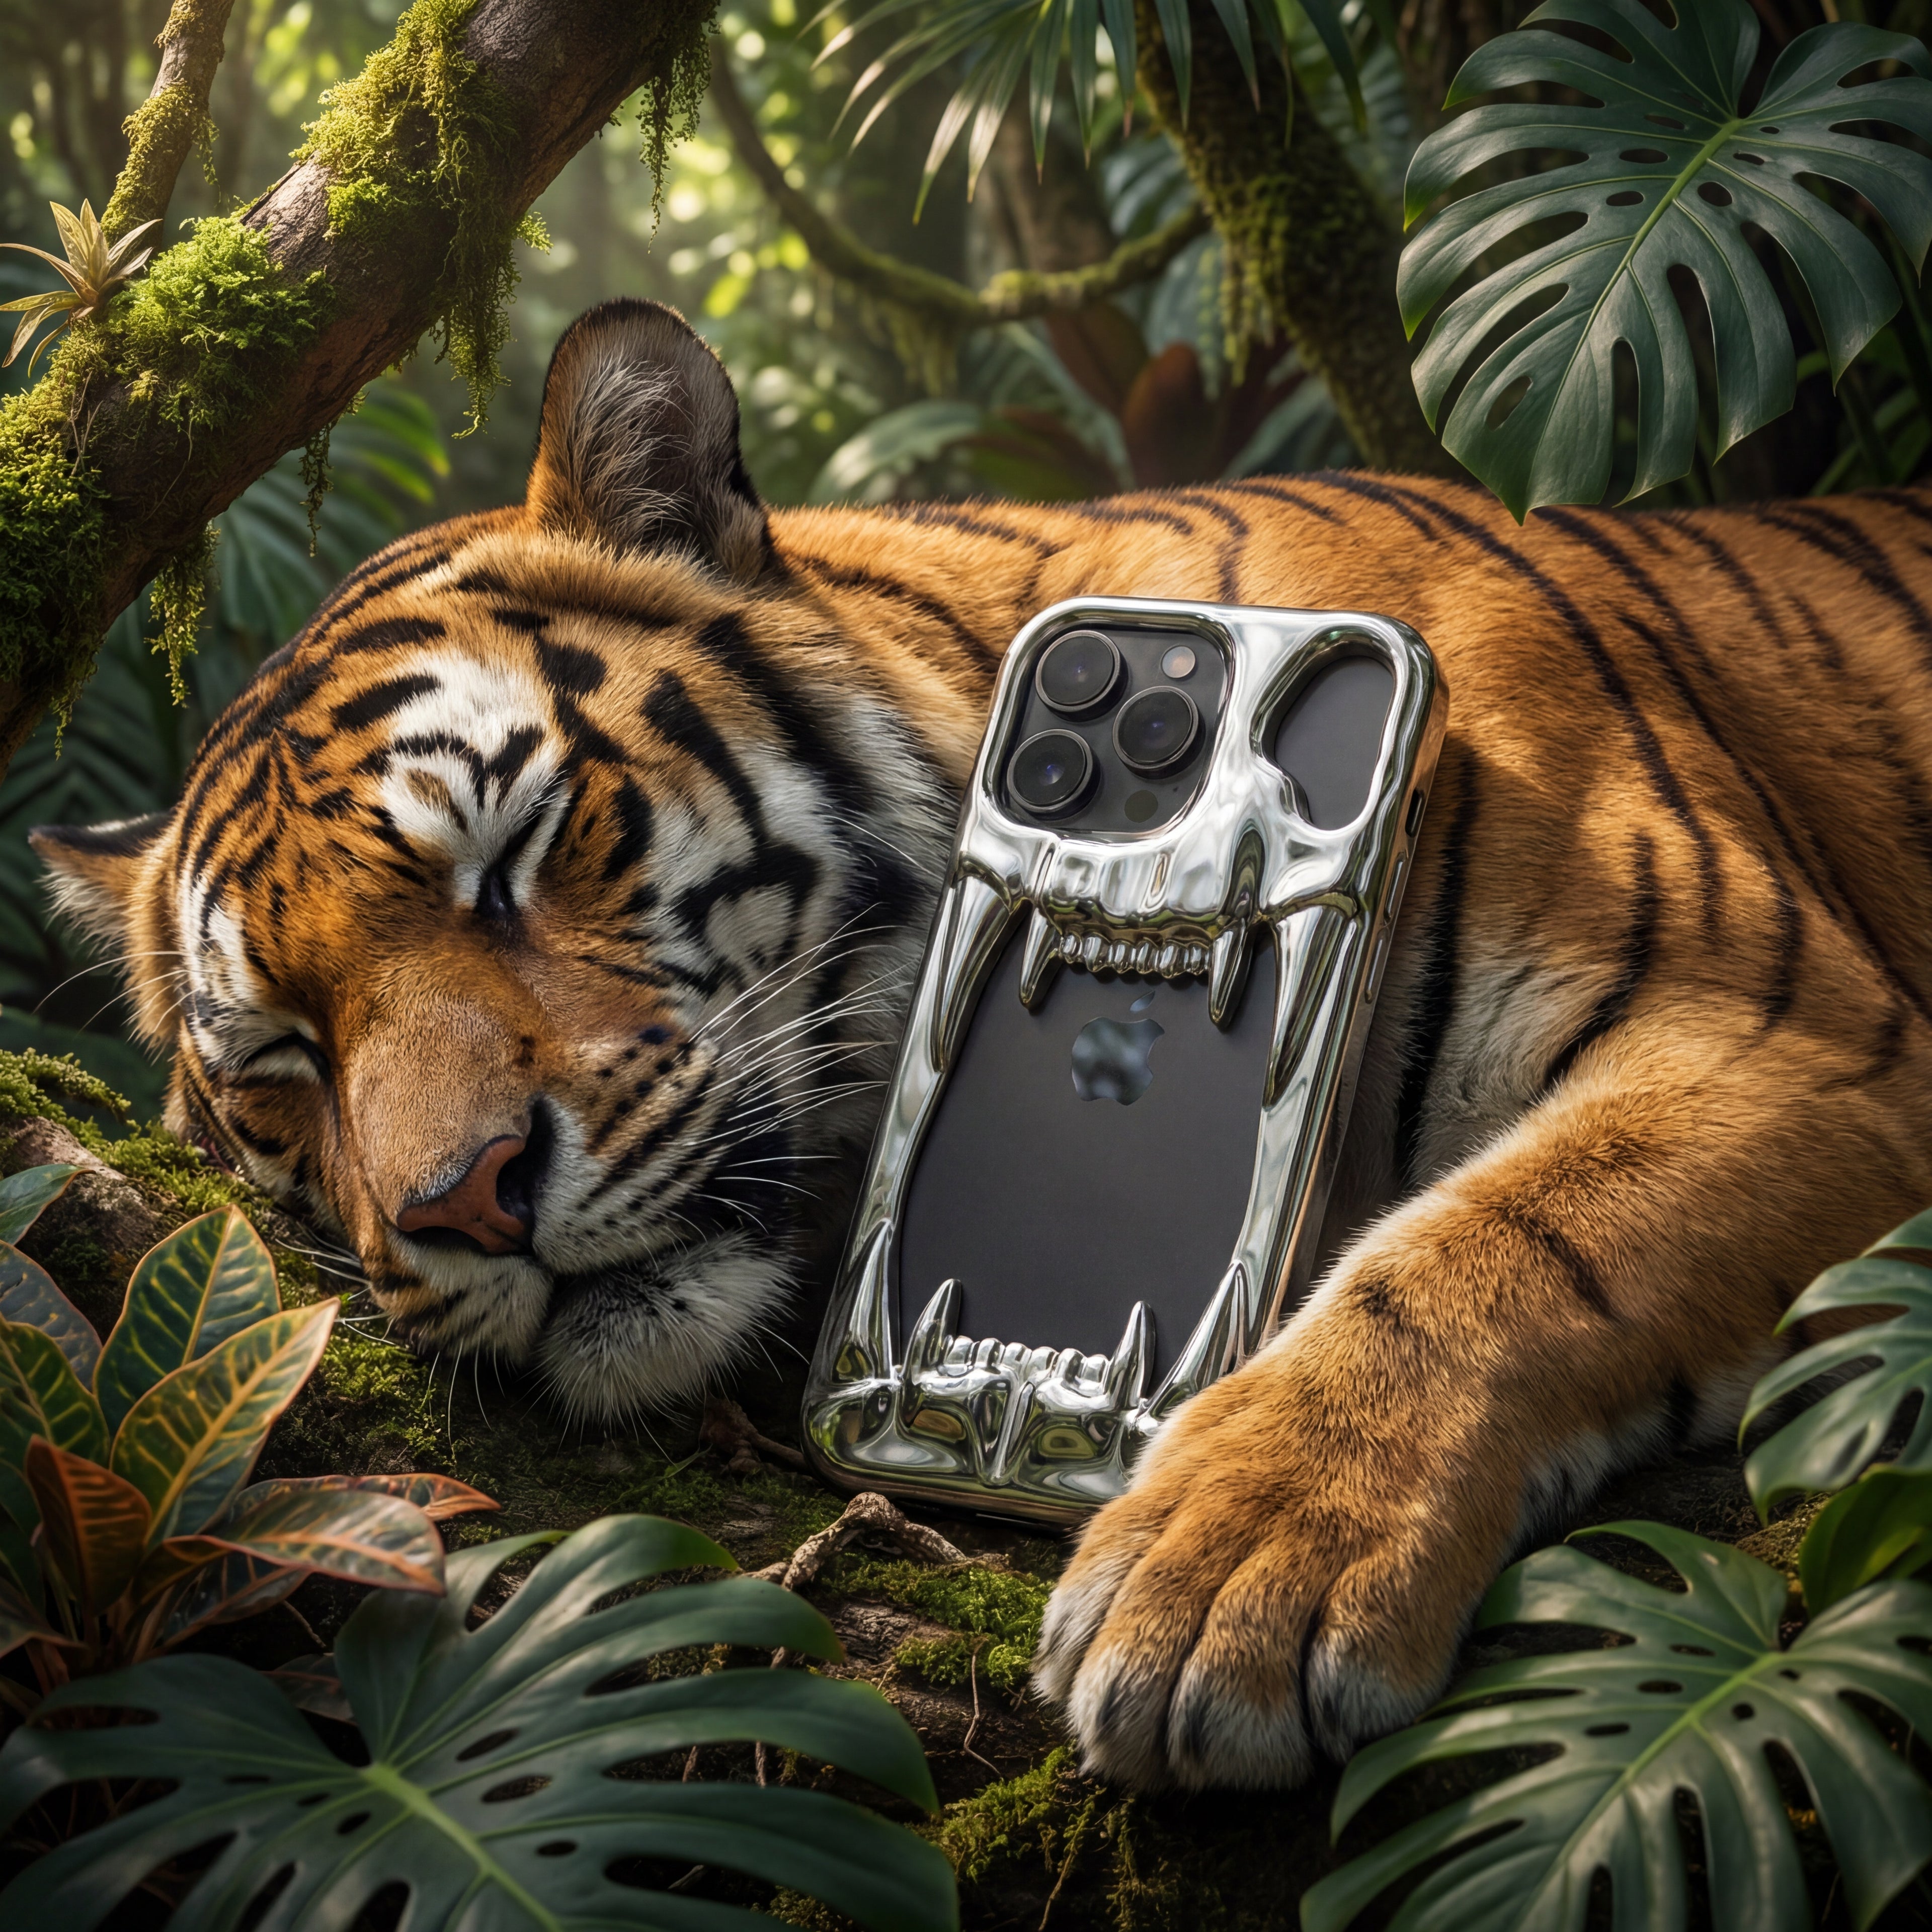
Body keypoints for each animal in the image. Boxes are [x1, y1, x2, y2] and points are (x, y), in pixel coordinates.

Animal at [35, 296, 1932, 1792]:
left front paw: (1234, 1571)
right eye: (283, 1060)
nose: (463, 1203)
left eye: (512, 854)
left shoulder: (1789, 1029)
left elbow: (1500, 1248)